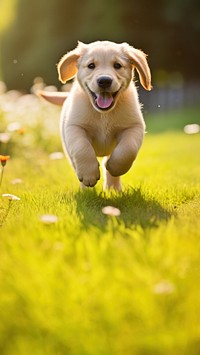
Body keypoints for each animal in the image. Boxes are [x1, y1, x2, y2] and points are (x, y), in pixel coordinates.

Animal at [39, 41, 151, 192]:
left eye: (117, 65)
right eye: (91, 65)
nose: (104, 81)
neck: (103, 114)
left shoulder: (134, 126)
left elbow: (128, 149)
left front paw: (115, 167)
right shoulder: (74, 127)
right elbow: (82, 148)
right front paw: (89, 175)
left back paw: (113, 188)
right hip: (68, 151)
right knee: (76, 164)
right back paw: (86, 190)